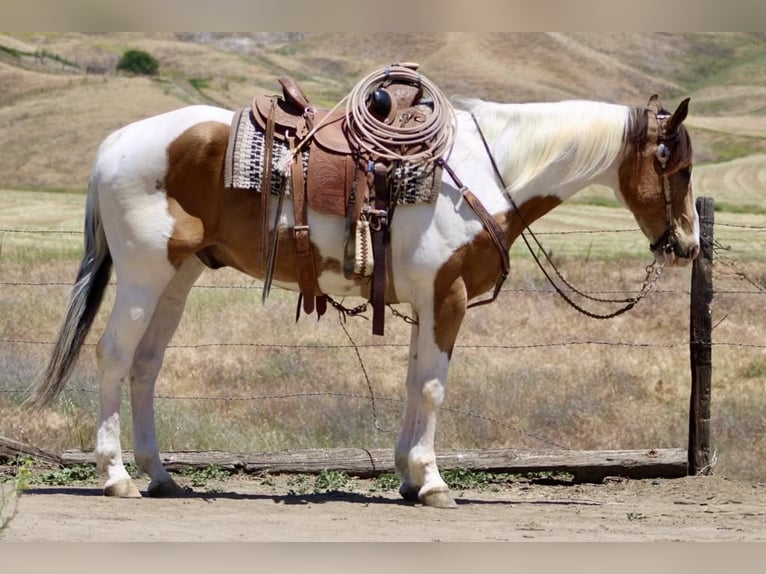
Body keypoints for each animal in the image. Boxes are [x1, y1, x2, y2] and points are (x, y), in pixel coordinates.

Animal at [31, 91, 698, 508]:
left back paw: (161, 476)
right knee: (114, 357)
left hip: (178, 277)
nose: (687, 245)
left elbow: (412, 383)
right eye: (679, 166)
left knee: (145, 366)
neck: (488, 173)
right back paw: (116, 476)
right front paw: (433, 483)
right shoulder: (448, 296)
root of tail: (116, 143)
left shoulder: (428, 302)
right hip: (142, 274)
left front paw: (407, 477)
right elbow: (432, 388)